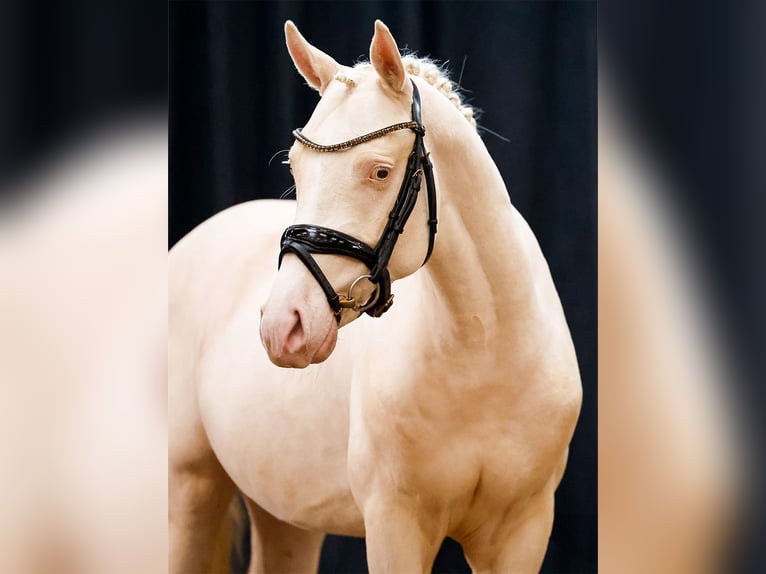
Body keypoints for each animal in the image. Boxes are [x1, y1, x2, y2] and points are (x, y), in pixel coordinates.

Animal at [170, 20, 584, 574]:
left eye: (380, 172)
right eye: (296, 168)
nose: (284, 325)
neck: (486, 354)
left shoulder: (524, 529)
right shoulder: (394, 524)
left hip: (284, 512)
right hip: (190, 485)